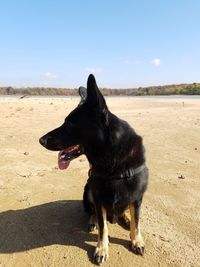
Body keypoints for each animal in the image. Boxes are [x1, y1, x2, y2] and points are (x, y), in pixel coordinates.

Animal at [39, 75, 148, 266]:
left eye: (70, 123)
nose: (40, 140)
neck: (112, 159)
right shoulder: (98, 197)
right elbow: (103, 227)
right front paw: (102, 248)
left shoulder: (136, 197)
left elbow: (137, 221)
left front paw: (136, 240)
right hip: (88, 190)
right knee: (93, 212)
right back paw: (93, 221)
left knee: (125, 212)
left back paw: (125, 218)